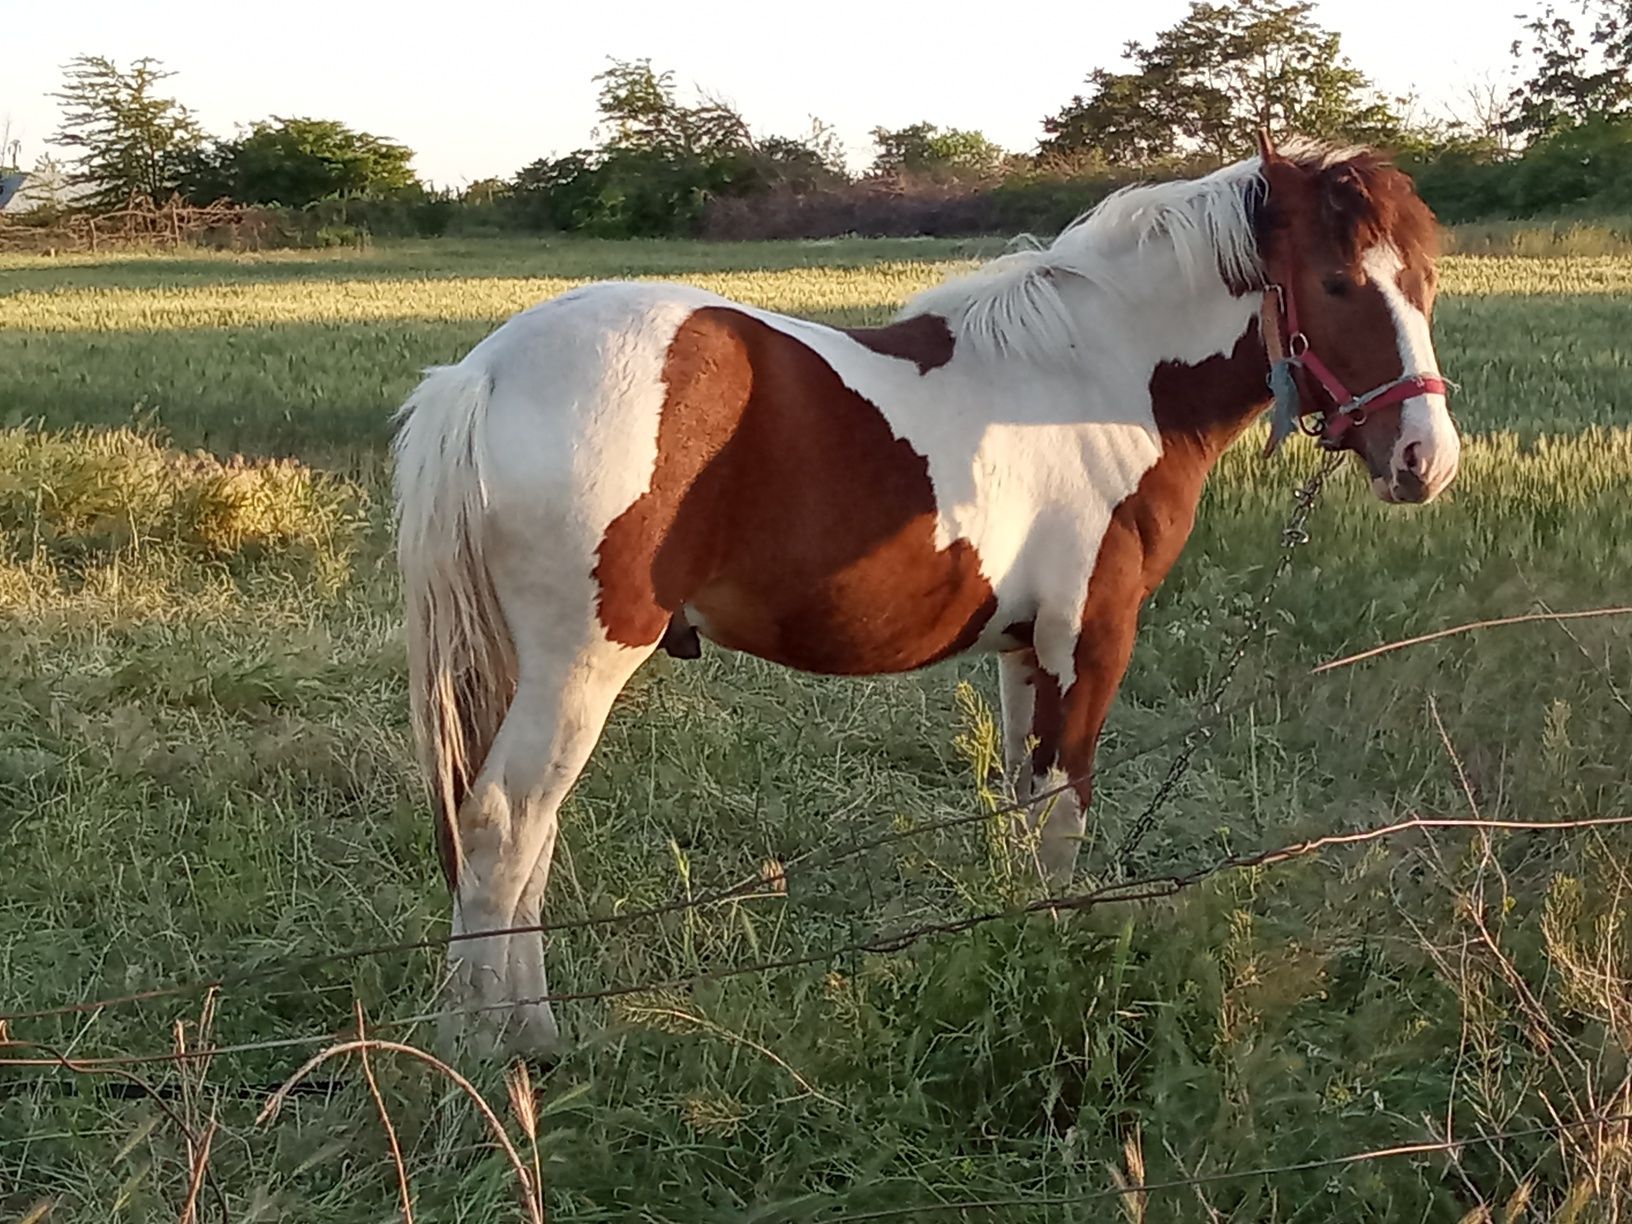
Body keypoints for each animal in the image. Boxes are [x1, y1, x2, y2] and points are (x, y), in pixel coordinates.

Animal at [398, 132, 1468, 1057]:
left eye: (1423, 286)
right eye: (1338, 284)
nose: (1426, 460)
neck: (1101, 378)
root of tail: (486, 372)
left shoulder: (1026, 649)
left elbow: (1021, 809)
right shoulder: (1090, 640)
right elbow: (1062, 816)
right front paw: (1052, 972)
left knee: (523, 838)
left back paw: (530, 1033)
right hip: (580, 665)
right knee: (504, 825)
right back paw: (490, 1053)